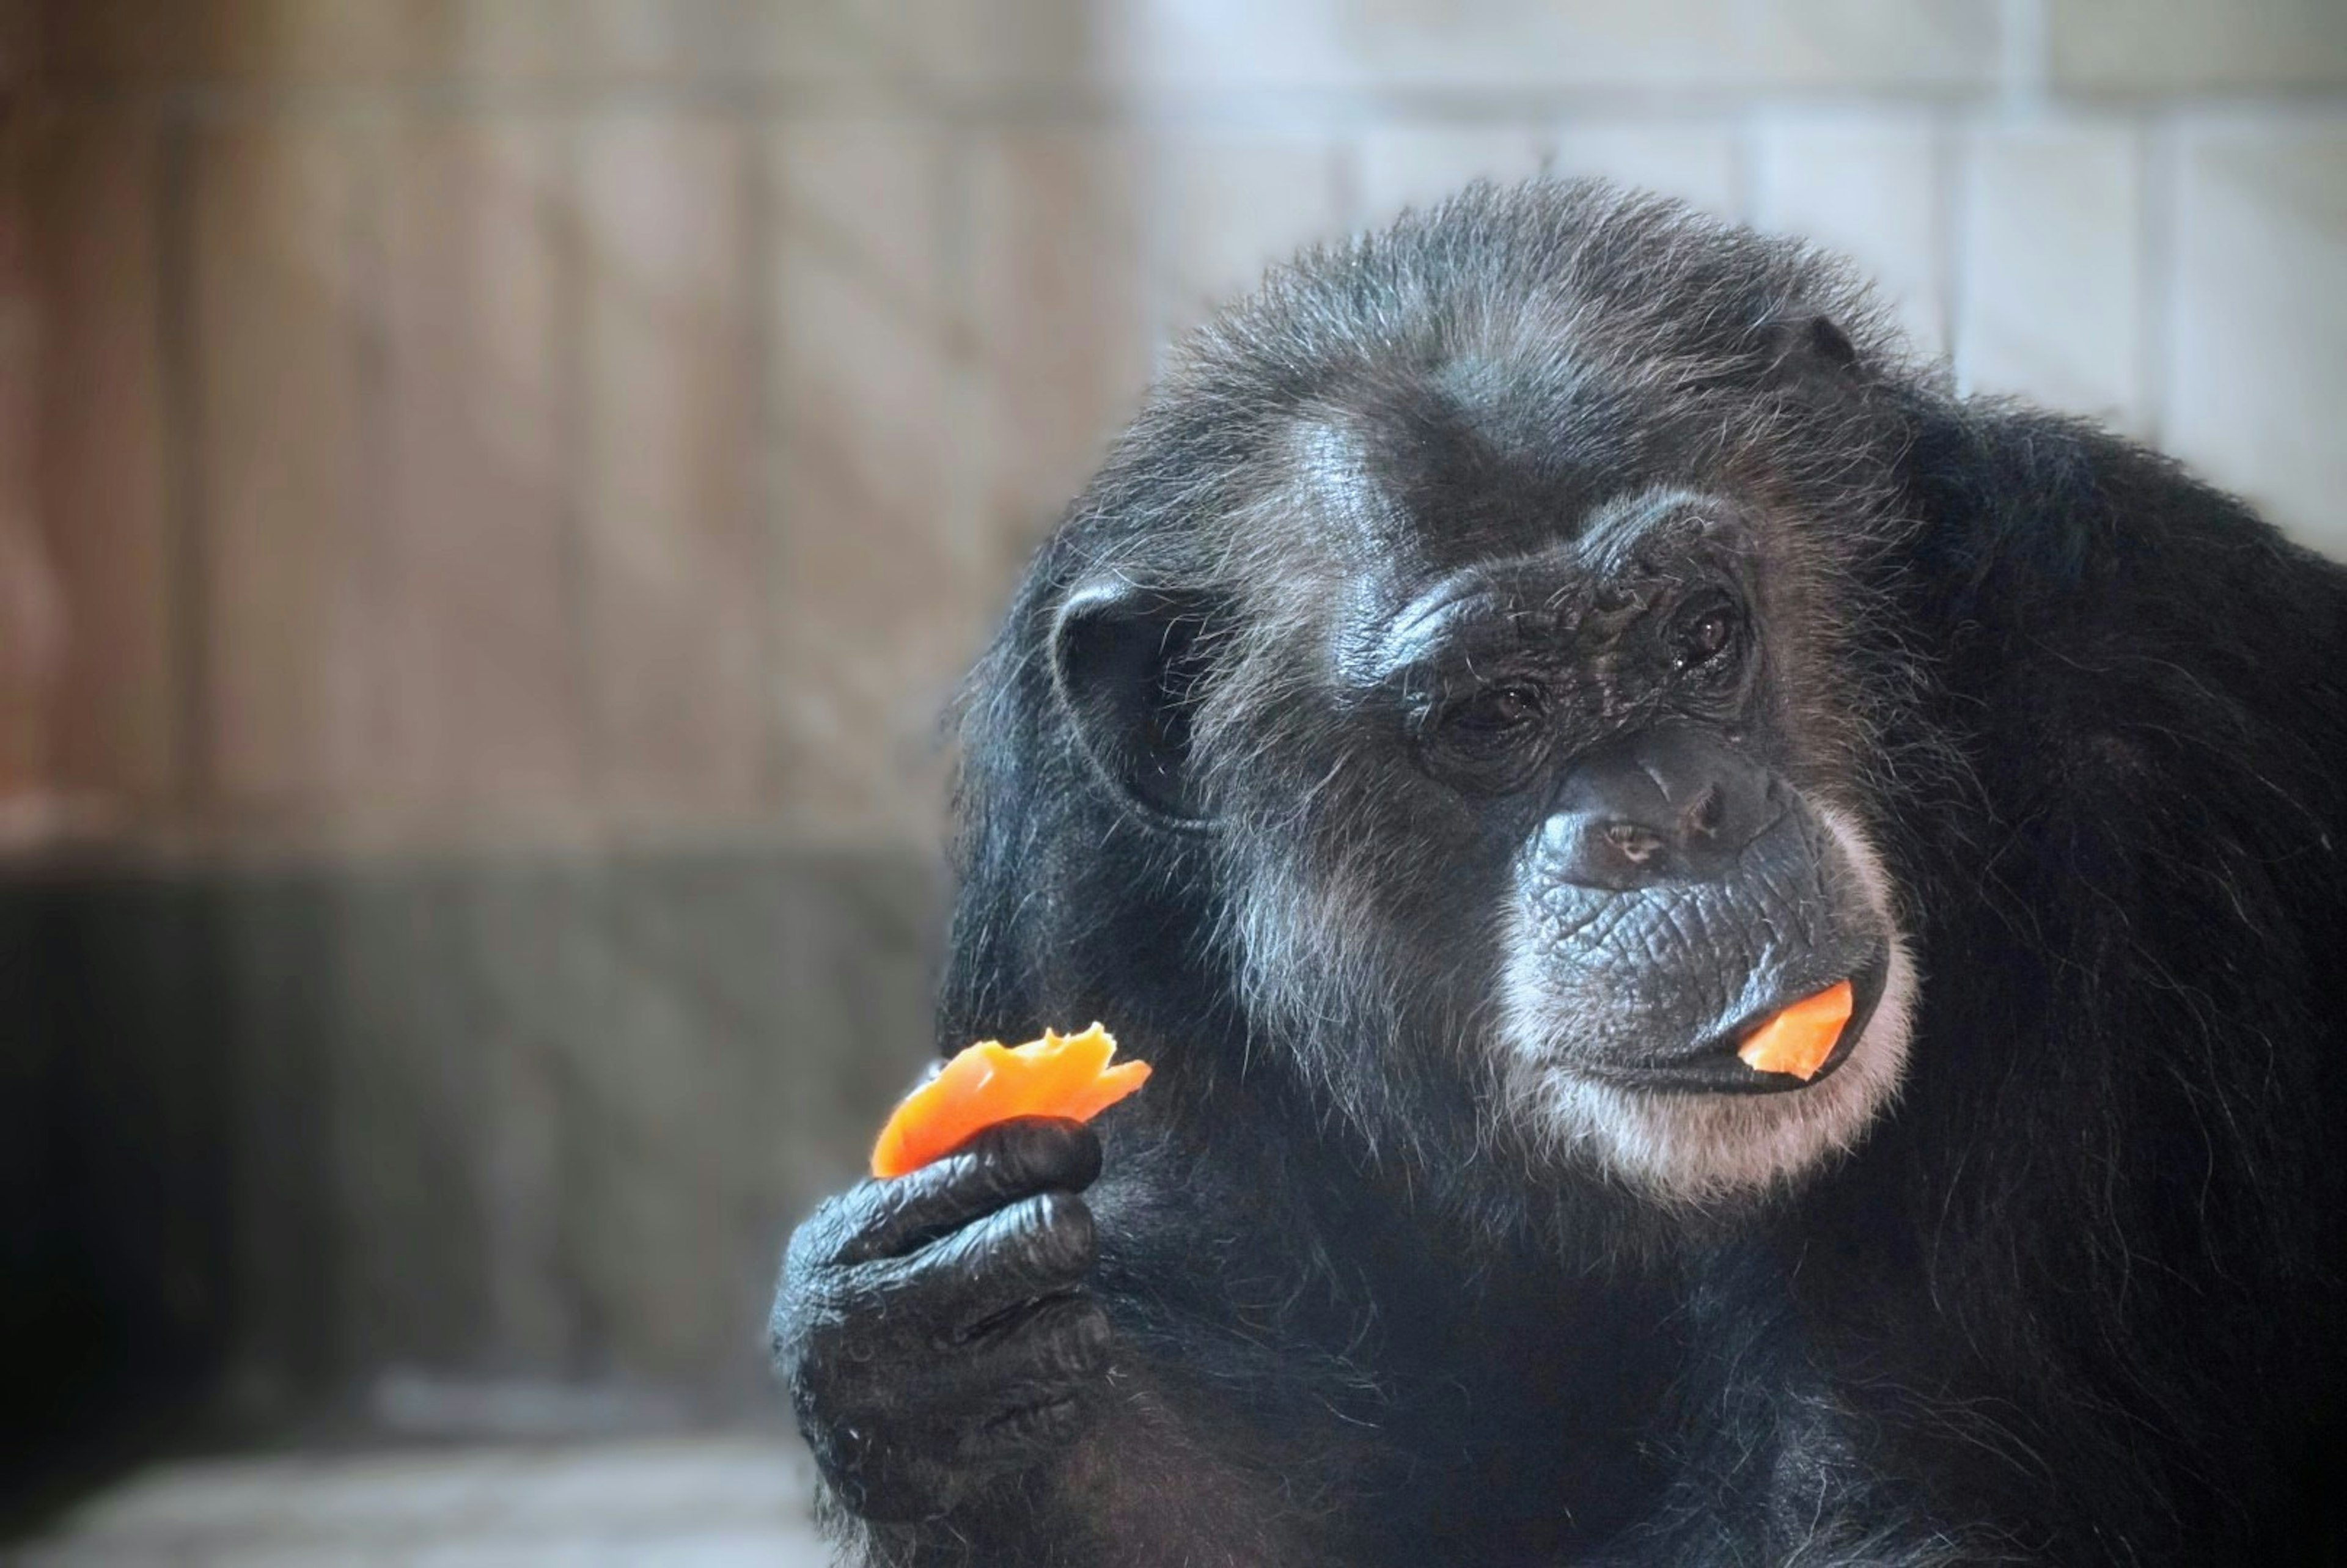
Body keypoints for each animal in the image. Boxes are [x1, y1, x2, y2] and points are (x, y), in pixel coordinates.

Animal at [765, 177, 2328, 1558]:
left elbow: (1860, 1500)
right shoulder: (1072, 891)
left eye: (1703, 634)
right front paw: (919, 1365)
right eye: (1494, 711)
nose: (1679, 813)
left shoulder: (2104, 722)